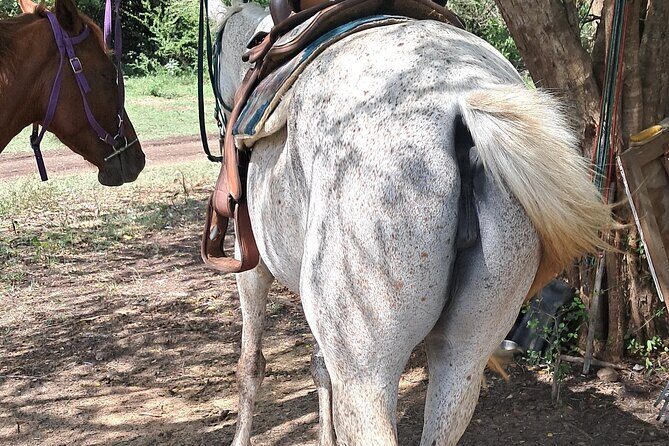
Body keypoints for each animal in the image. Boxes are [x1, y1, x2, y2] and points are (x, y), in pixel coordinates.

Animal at [212, 3, 612, 445]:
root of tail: (460, 102)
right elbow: (318, 368)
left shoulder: (252, 269)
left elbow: (251, 366)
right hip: (464, 358)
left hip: (366, 376)